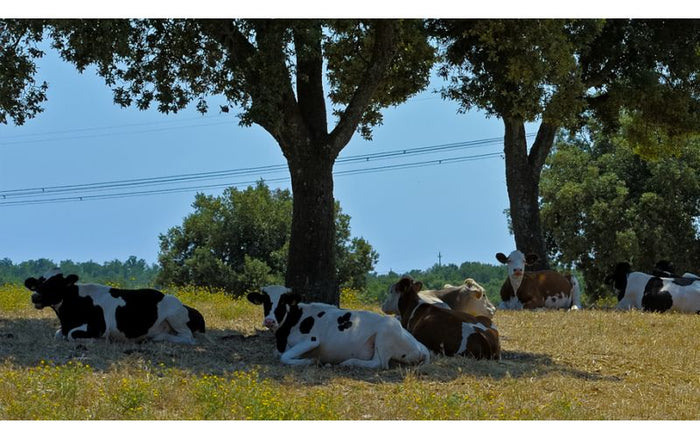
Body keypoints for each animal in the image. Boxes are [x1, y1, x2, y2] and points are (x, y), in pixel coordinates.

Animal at [24, 270, 205, 344]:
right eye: (38, 283)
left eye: (54, 283)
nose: (35, 296)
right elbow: (58, 334)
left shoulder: (98, 328)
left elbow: (72, 335)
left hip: (174, 315)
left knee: (188, 338)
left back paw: (158, 337)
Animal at [246, 285, 430, 369]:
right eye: (265, 301)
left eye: (282, 301)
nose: (269, 321)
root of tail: (420, 346)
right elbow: (278, 354)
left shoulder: (312, 340)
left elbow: (284, 357)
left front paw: (310, 360)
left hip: (386, 333)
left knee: (379, 363)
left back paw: (348, 362)